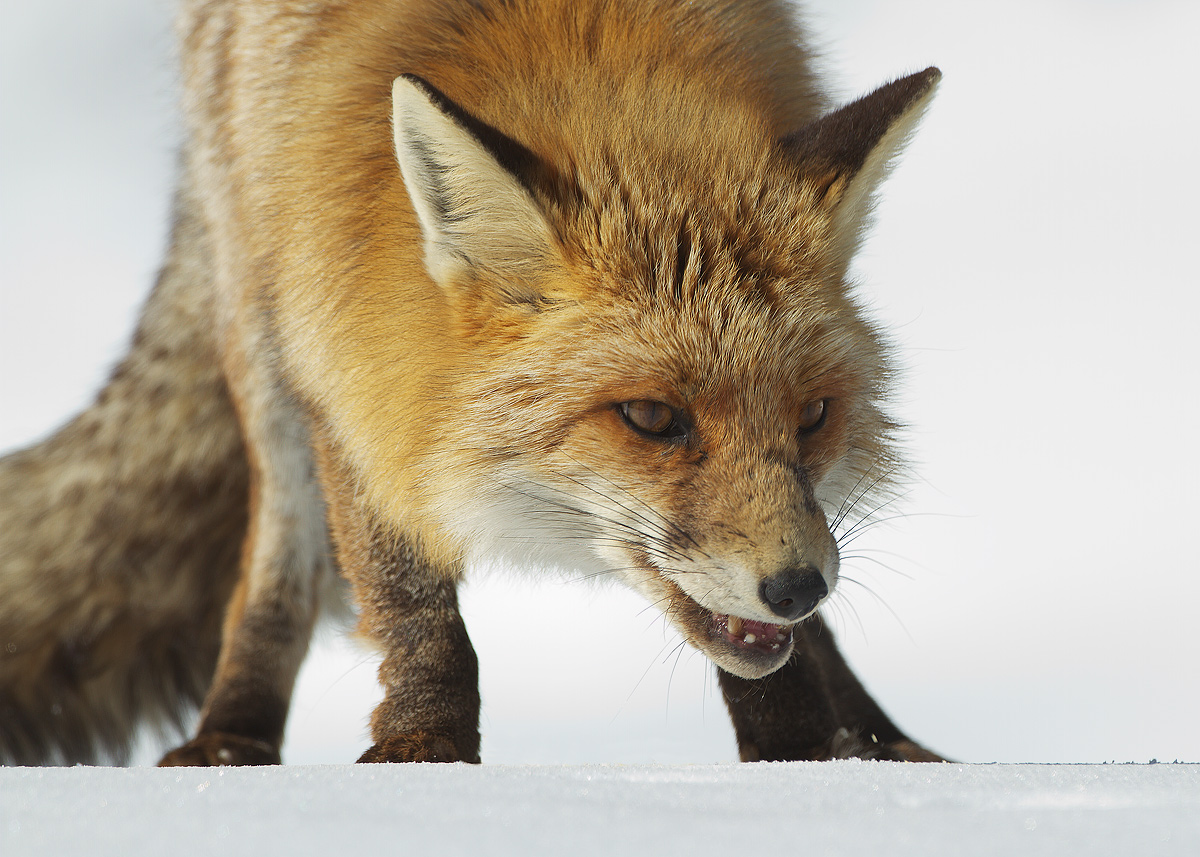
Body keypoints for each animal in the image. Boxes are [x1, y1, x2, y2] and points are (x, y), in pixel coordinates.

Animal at [0, 0, 943, 767]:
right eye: (650, 416)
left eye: (813, 414)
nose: (797, 584)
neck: (583, 33)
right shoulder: (345, 352)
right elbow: (408, 597)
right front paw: (425, 745)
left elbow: (778, 651)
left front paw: (800, 754)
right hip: (255, 315)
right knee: (276, 562)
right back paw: (230, 739)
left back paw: (877, 738)